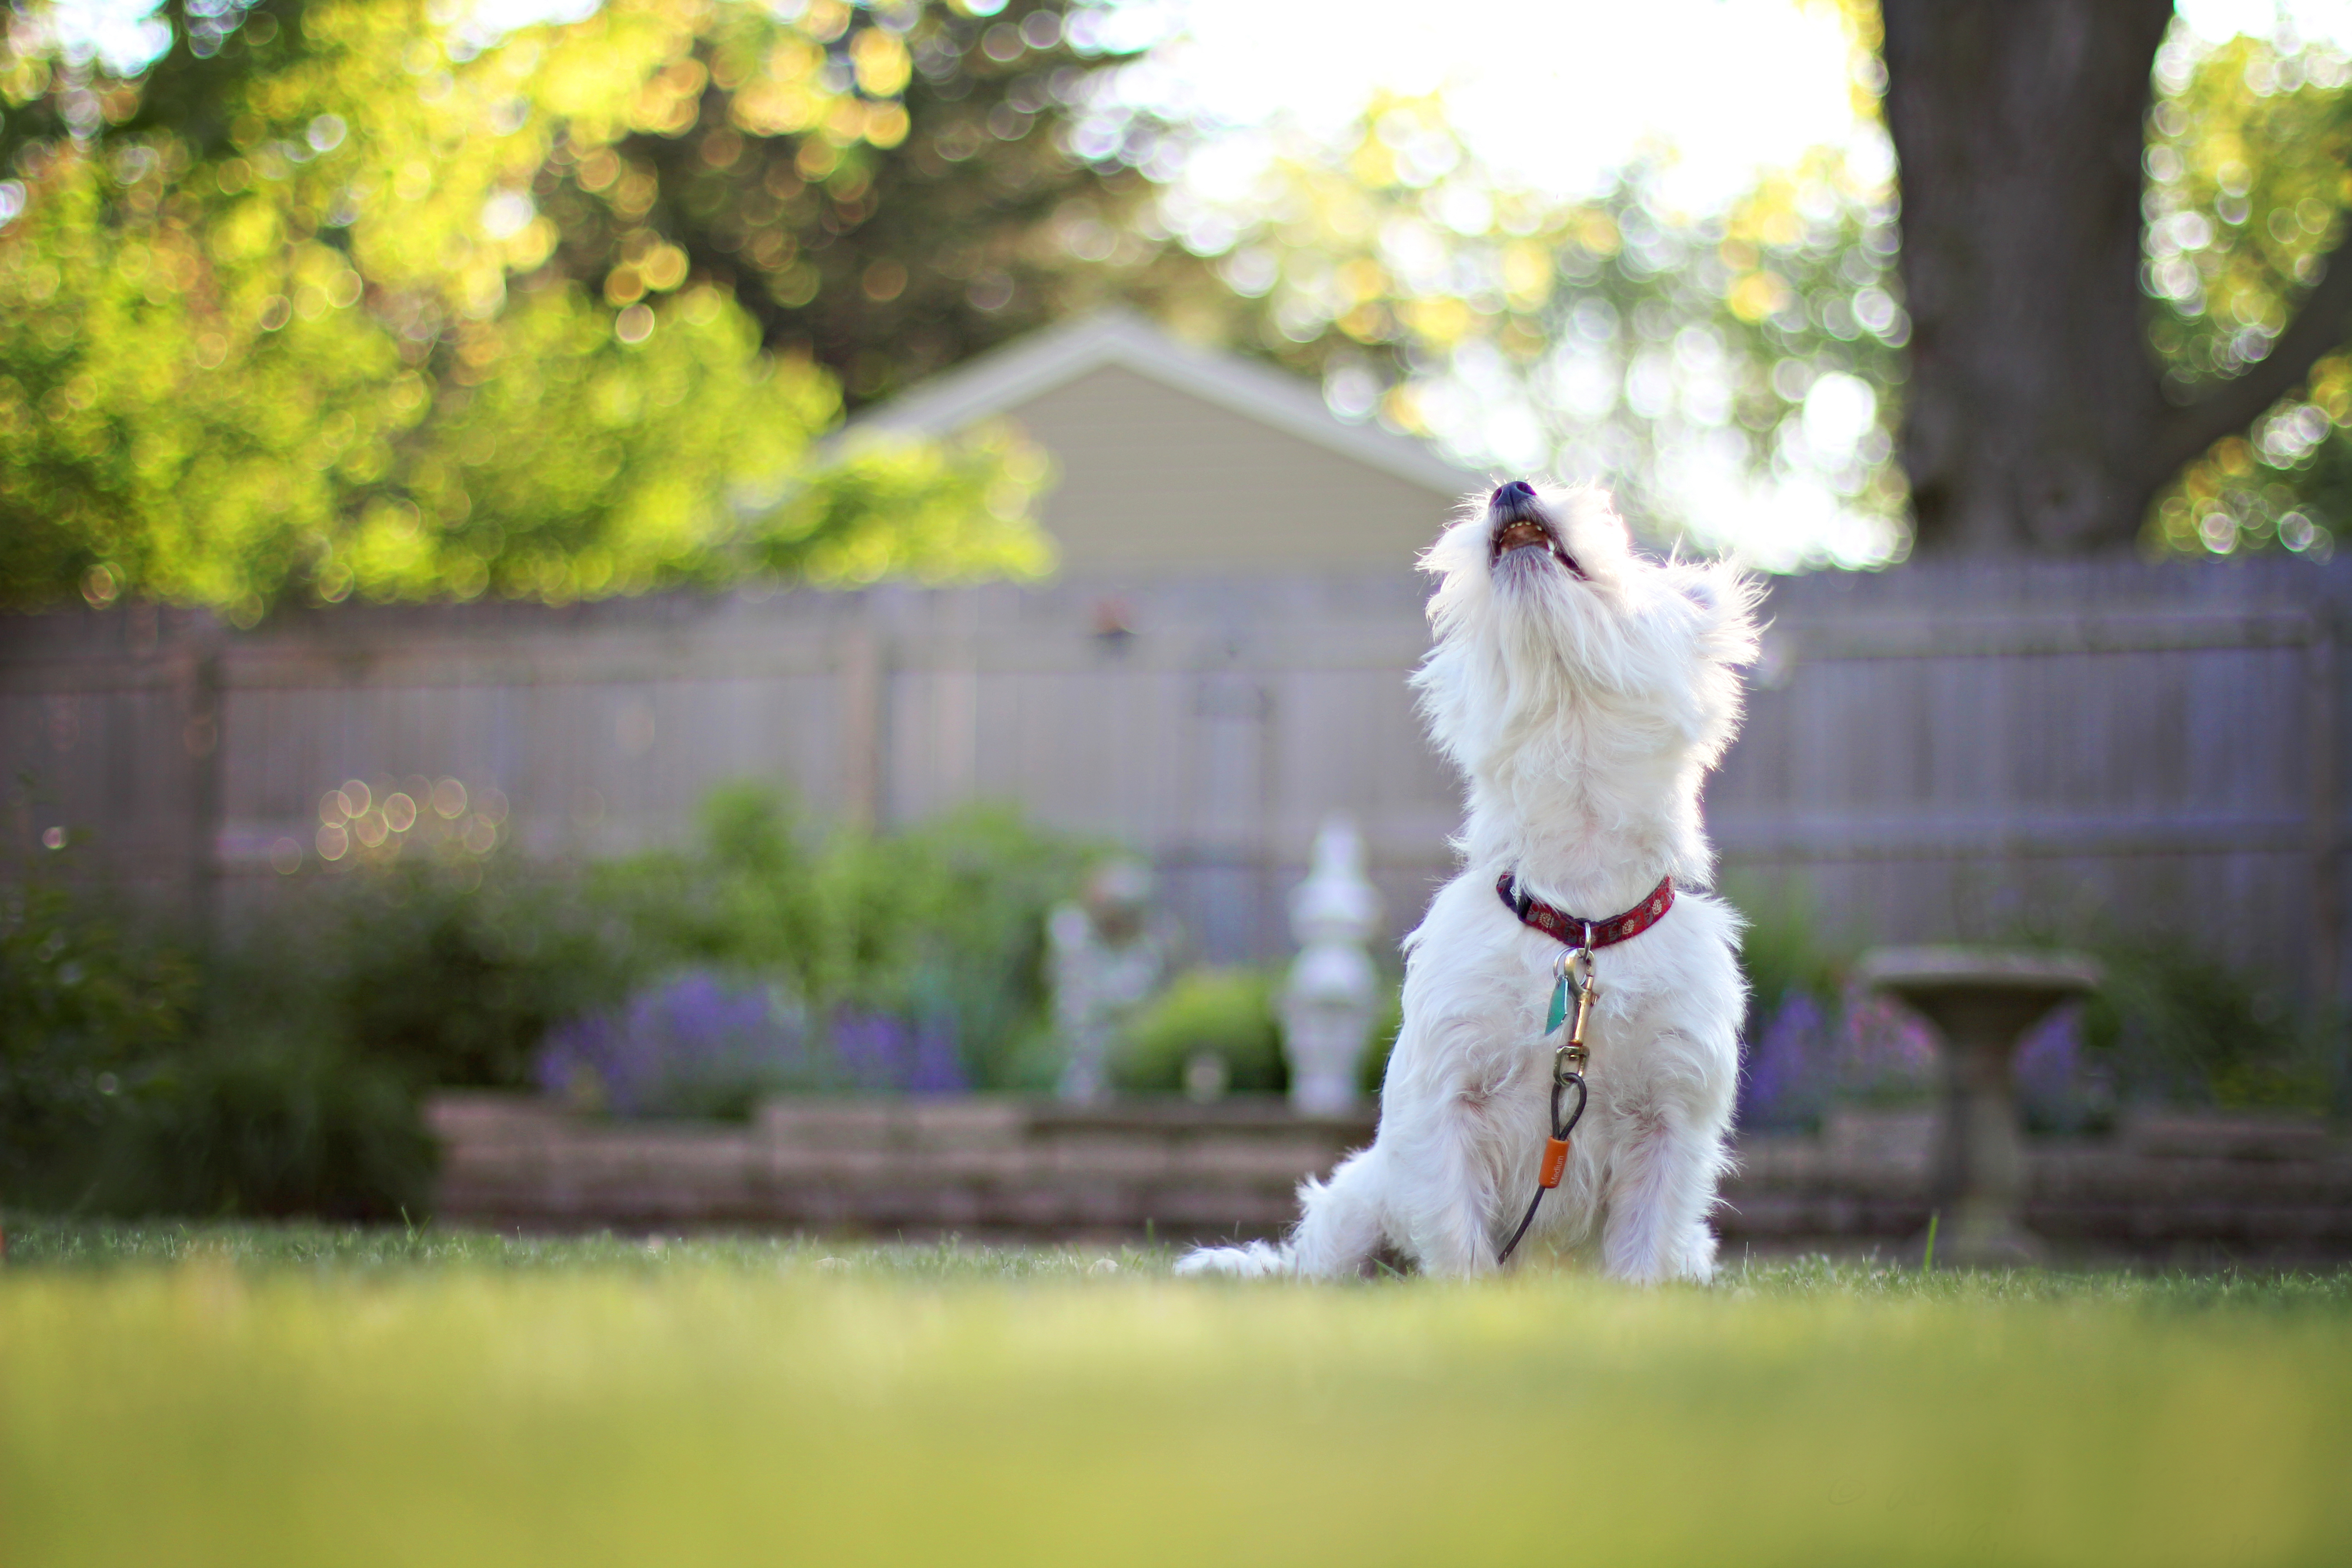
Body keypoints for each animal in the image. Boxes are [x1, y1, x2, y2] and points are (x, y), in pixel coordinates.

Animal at [1185, 482, 1759, 1288]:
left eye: (1623, 550)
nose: (1512, 486)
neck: (1579, 919)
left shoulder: (1670, 1116)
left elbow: (1644, 1250)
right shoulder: (1446, 1100)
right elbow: (1456, 1234)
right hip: (1357, 1203)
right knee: (1314, 1265)